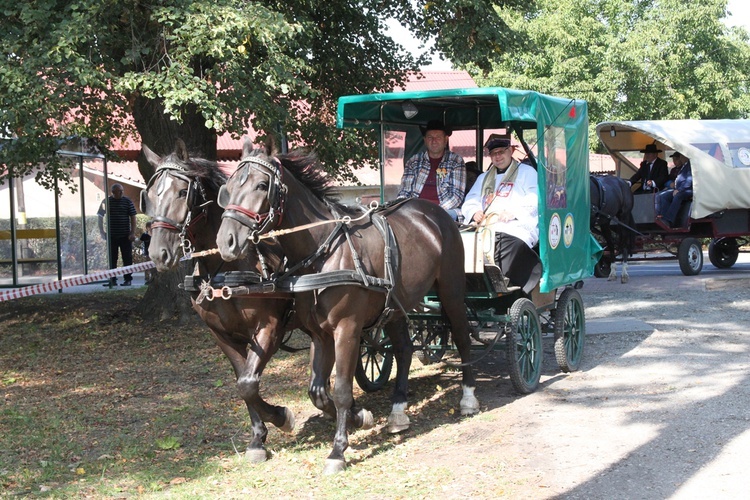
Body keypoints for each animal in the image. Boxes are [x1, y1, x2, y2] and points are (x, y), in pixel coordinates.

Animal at [140, 140, 338, 460]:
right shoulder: (222, 335)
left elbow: (248, 382)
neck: (225, 269)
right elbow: (242, 381)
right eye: (150, 194)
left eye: (183, 192)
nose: (159, 253)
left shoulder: (269, 328)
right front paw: (258, 438)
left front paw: (282, 417)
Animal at [214, 140, 482, 472]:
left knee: (461, 336)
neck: (324, 251)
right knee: (404, 350)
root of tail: (435, 213)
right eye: (227, 188)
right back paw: (398, 411)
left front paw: (338, 451)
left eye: (262, 185)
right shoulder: (320, 334)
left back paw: (468, 397)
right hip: (395, 306)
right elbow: (317, 391)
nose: (226, 242)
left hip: (452, 291)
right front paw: (359, 419)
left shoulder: (347, 330)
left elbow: (341, 390)